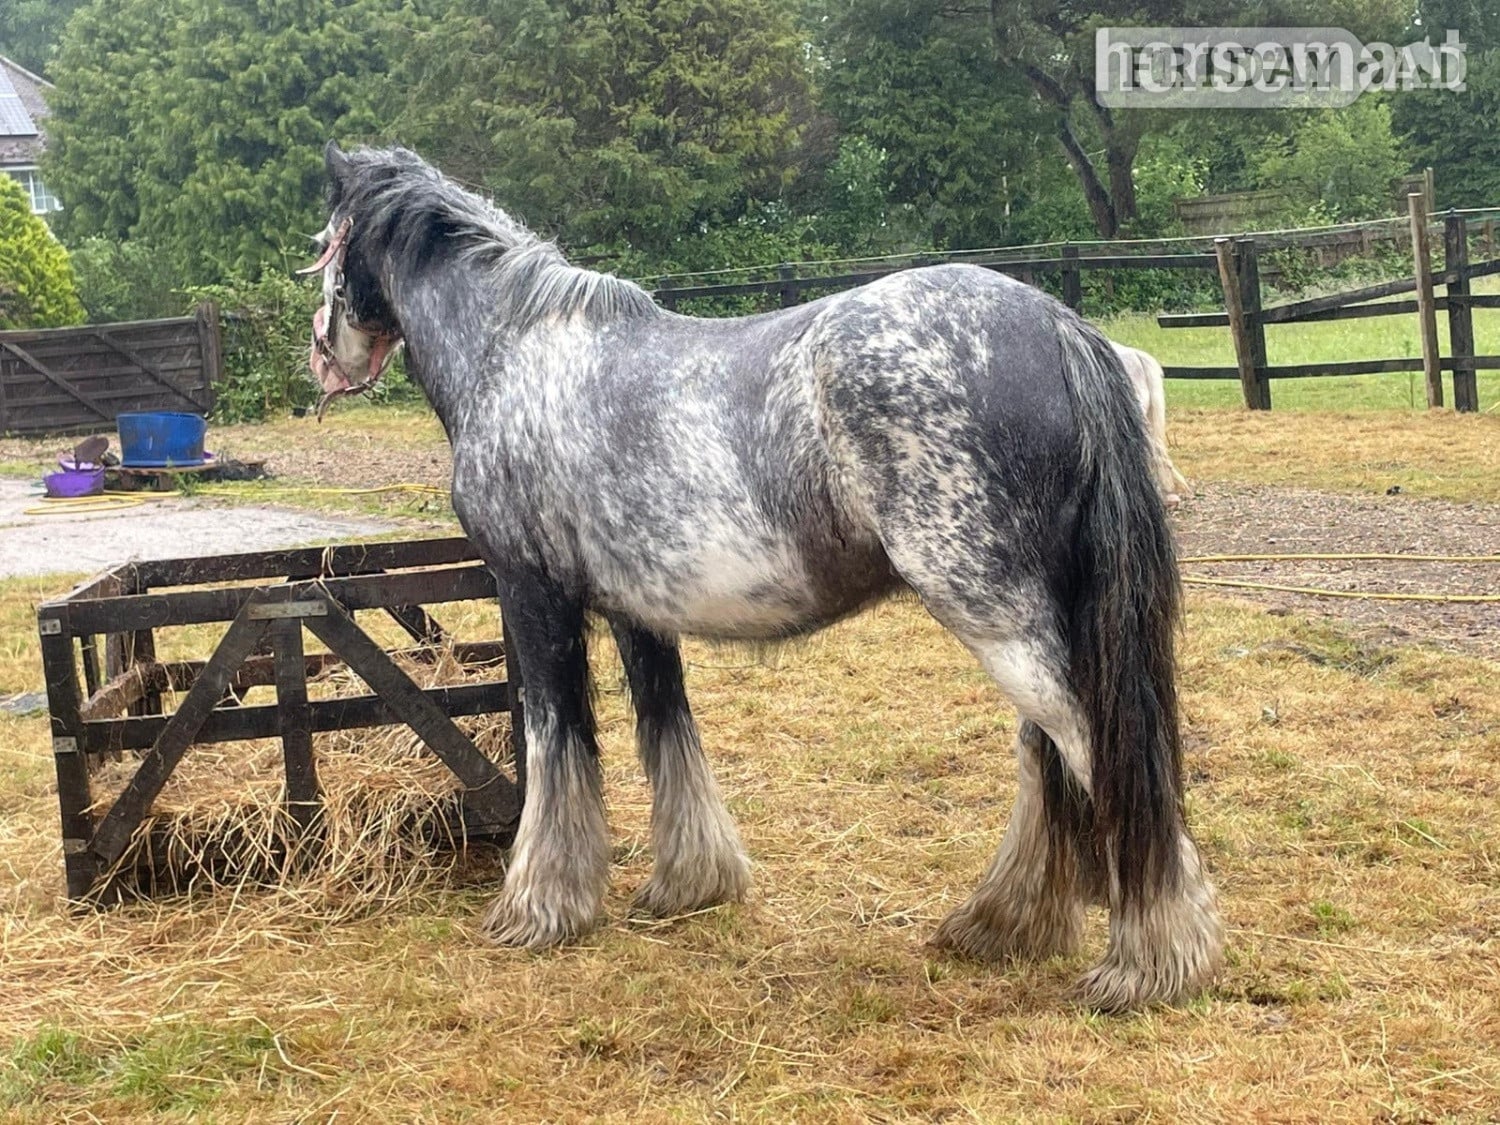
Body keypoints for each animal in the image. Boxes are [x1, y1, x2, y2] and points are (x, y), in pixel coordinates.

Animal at [301, 142, 1222, 1011]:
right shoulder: (639, 613)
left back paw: (1151, 961)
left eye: (322, 244)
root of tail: (1057, 325)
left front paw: (539, 907)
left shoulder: (533, 595)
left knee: (1096, 748)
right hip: (1031, 615)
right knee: (1052, 753)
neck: (516, 352)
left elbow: (556, 743)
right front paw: (688, 884)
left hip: (995, 614)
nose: (324, 358)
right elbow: (666, 731)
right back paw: (1007, 923)